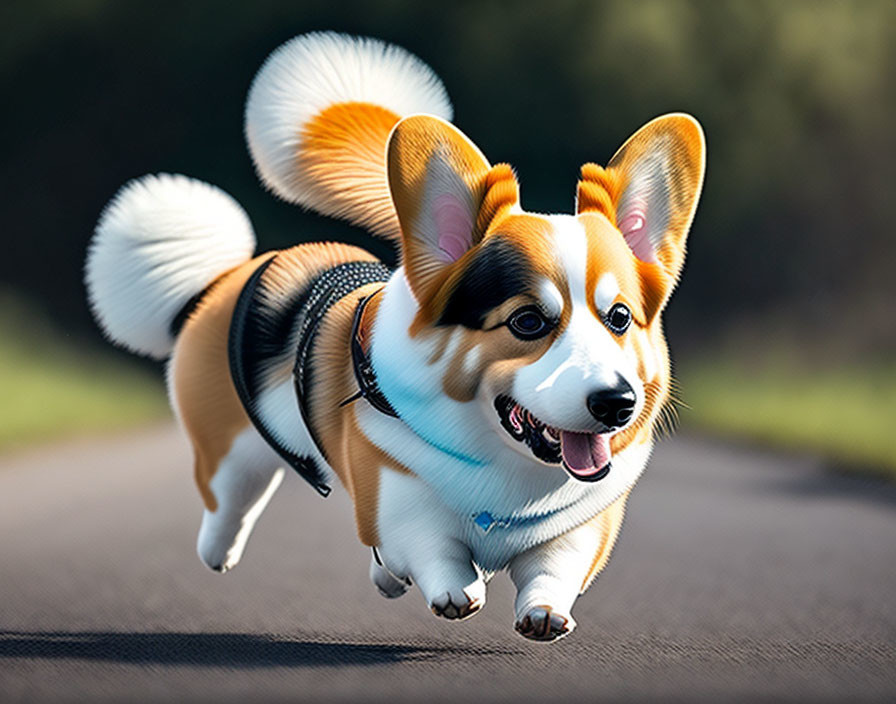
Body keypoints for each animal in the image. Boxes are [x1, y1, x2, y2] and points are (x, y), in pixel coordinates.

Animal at [87, 30, 708, 640]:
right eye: (528, 322)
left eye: (619, 318)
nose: (616, 403)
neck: (504, 462)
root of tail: (232, 271)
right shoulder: (395, 495)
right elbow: (432, 544)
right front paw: (458, 590)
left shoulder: (583, 523)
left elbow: (556, 564)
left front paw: (544, 612)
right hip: (231, 450)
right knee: (229, 499)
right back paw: (220, 551)